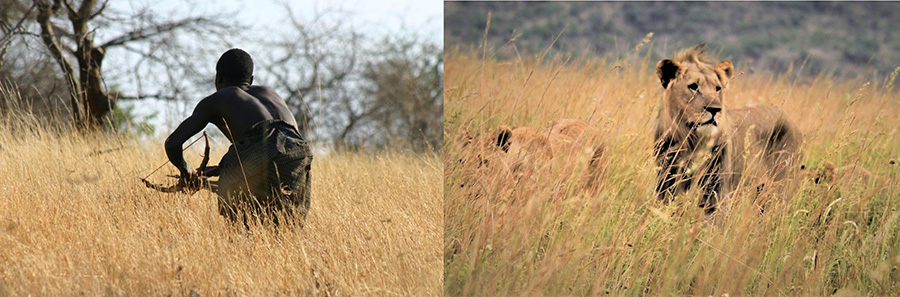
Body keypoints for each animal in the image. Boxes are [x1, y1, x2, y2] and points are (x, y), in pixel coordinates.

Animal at [652, 44, 800, 213]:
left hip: (782, 185)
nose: (715, 109)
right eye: (693, 87)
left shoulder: (718, 191)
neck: (691, 142)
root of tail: (790, 119)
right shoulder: (665, 182)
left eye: (717, 88)